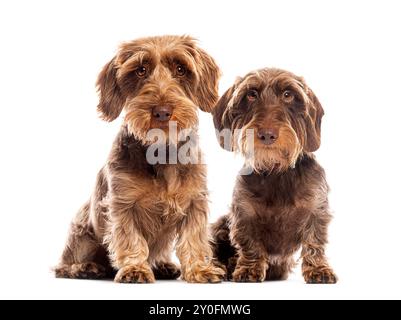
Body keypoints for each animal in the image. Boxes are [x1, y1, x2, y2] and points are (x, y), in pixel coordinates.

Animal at [54, 36, 225, 284]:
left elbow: (194, 239)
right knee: (63, 267)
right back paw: (86, 268)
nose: (162, 112)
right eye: (140, 70)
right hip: (82, 236)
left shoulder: (195, 201)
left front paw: (200, 269)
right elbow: (130, 239)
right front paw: (135, 268)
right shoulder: (122, 204)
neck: (161, 153)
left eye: (181, 69)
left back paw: (163, 265)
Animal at [211, 67, 336, 282]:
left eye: (288, 95)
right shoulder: (243, 213)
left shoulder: (316, 209)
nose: (267, 134)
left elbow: (314, 241)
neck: (276, 172)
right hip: (220, 225)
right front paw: (249, 268)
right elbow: (250, 244)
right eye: (251, 94)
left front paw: (318, 269)